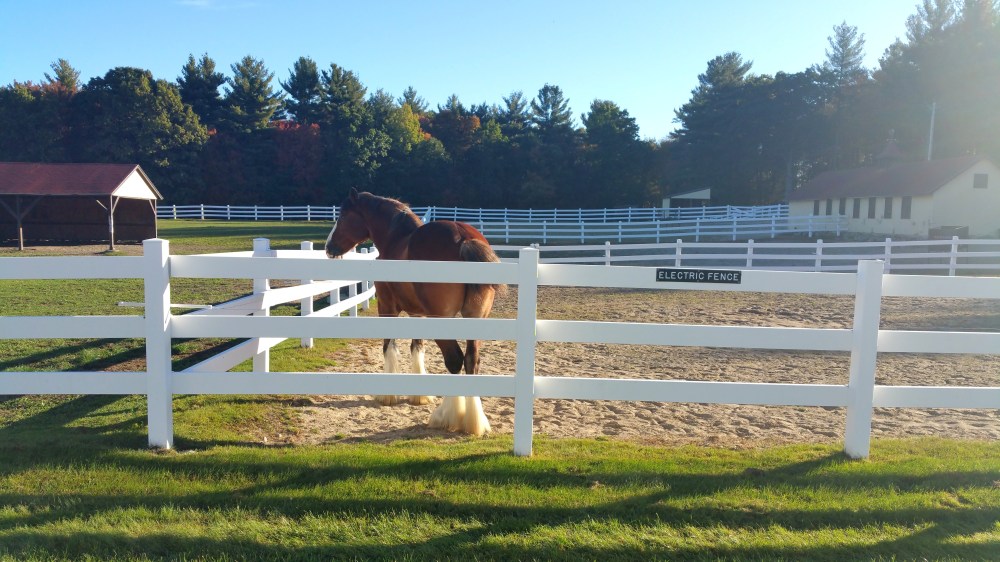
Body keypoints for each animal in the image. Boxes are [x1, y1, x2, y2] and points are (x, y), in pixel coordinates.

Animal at [324, 188, 503, 436]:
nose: (328, 247)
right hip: (474, 319)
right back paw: (473, 422)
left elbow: (389, 347)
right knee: (471, 361)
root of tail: (464, 238)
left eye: (342, 216)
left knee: (454, 360)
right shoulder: (418, 314)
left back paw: (446, 416)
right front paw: (419, 396)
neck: (395, 239)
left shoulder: (387, 308)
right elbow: (416, 347)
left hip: (442, 320)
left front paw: (387, 396)